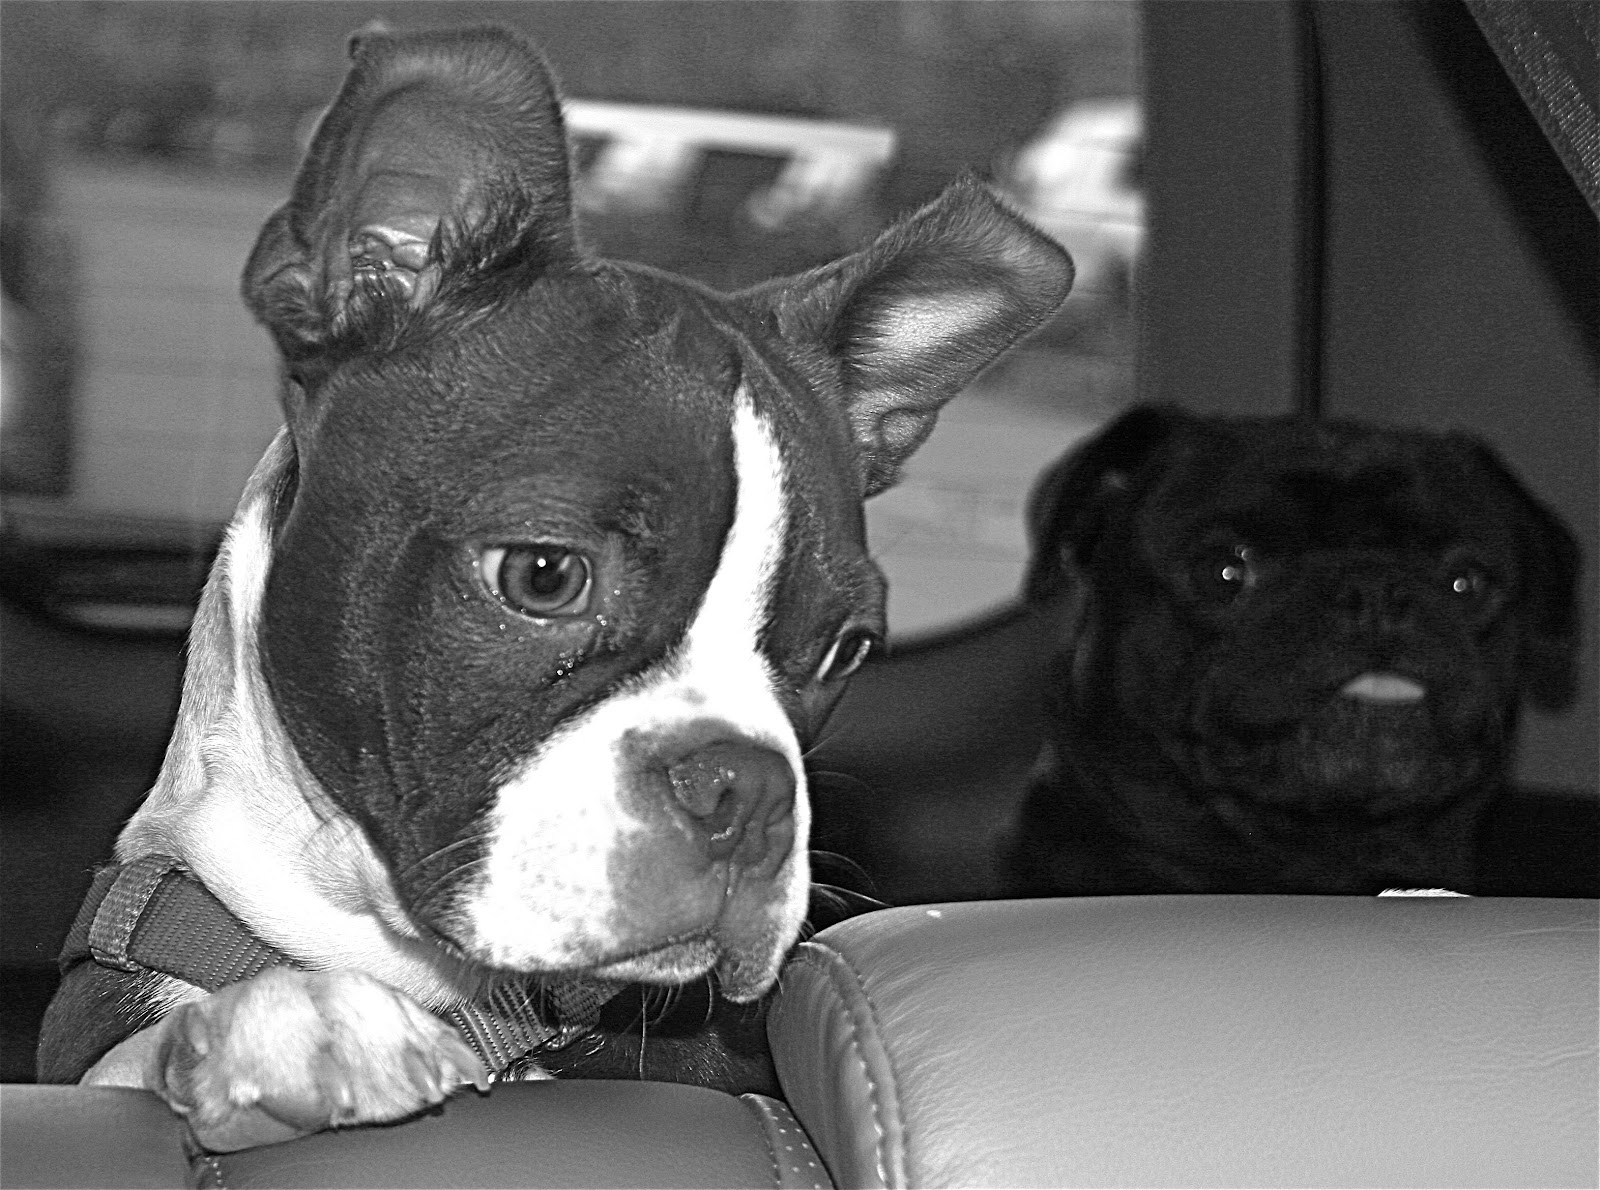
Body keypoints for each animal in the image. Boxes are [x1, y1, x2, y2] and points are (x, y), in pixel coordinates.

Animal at [37, 26, 1072, 1150]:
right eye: (544, 575)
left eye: (844, 648)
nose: (747, 789)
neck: (469, 1001)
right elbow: (138, 1058)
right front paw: (289, 1020)